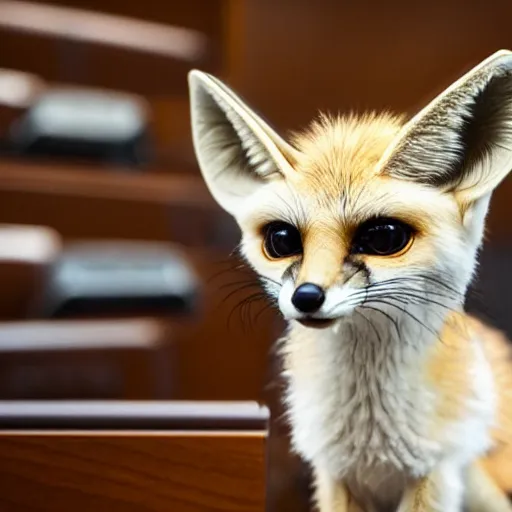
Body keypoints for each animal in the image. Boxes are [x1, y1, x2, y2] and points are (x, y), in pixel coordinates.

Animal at [189, 50, 512, 510]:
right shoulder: (333, 472)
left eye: (383, 237)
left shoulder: (435, 473)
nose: (306, 296)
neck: (372, 441)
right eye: (281, 240)